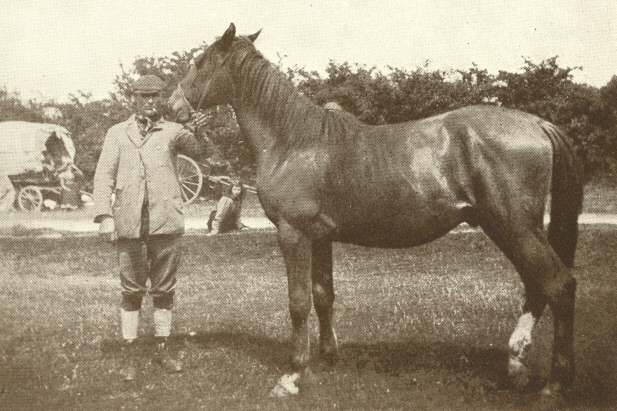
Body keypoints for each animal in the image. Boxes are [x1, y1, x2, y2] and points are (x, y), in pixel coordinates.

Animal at [168, 23, 584, 400]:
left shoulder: (293, 234)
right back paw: (516, 365)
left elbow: (299, 302)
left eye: (200, 62)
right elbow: (323, 294)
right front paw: (328, 357)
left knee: (558, 286)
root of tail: (537, 124)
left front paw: (294, 375)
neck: (293, 140)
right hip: (508, 229)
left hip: (515, 228)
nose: (170, 106)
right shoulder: (321, 237)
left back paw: (555, 382)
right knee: (537, 287)